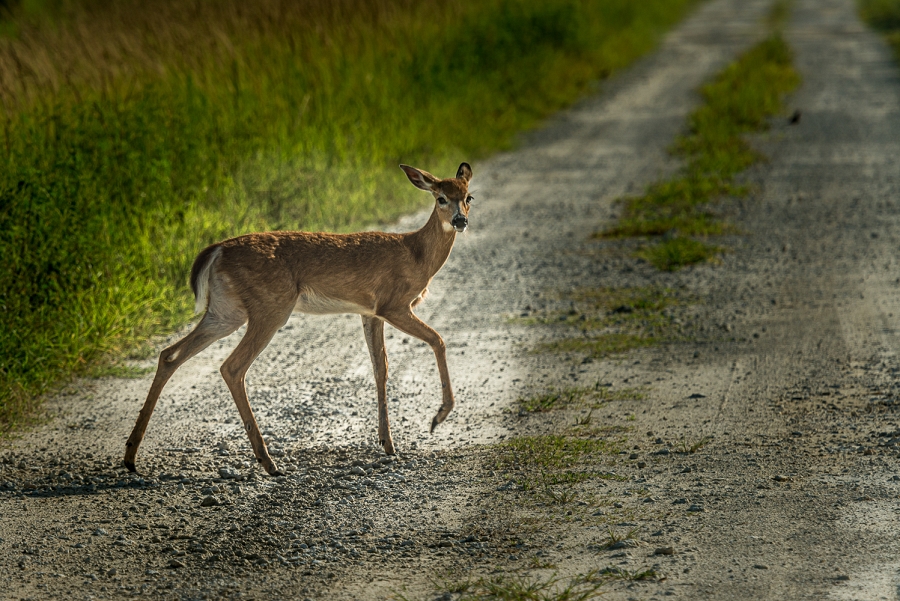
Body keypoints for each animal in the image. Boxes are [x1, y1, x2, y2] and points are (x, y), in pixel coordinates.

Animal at [123, 162, 474, 476]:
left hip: (224, 311)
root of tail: (218, 250)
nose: (460, 220)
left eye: (468, 196)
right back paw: (268, 461)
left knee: (170, 354)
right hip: (271, 307)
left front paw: (387, 443)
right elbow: (438, 340)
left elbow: (380, 369)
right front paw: (438, 417)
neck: (416, 255)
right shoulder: (394, 304)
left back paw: (130, 457)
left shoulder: (370, 312)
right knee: (231, 367)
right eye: (440, 197)